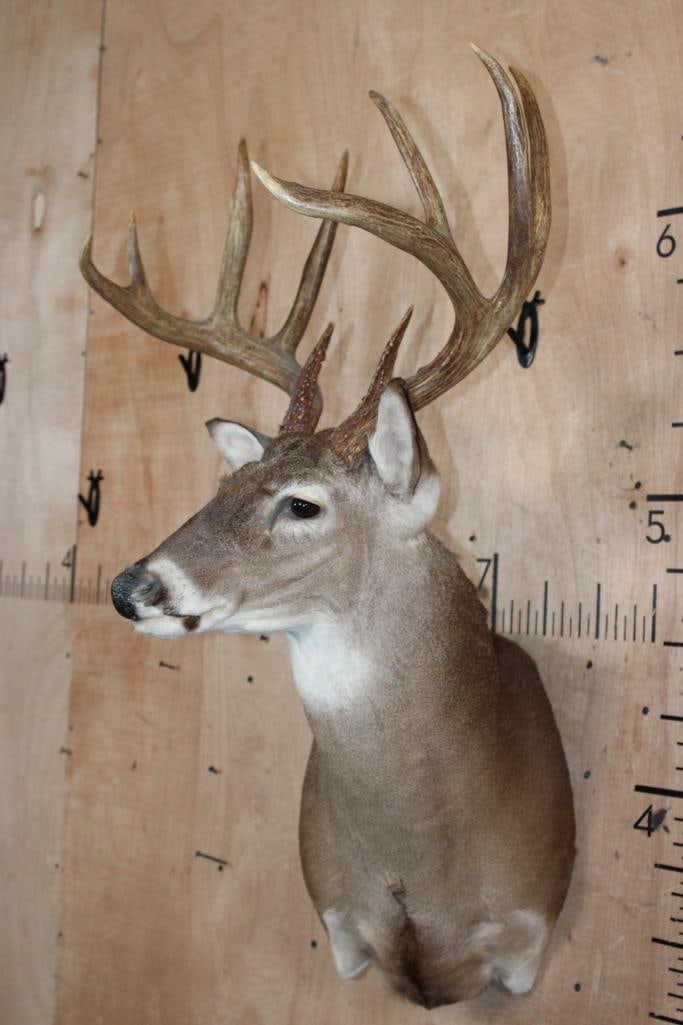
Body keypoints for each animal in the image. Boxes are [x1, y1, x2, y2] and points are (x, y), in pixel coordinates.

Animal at [81, 45, 575, 1010]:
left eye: (302, 503)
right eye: (228, 479)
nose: (129, 585)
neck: (424, 867)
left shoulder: (527, 944)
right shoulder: (343, 934)